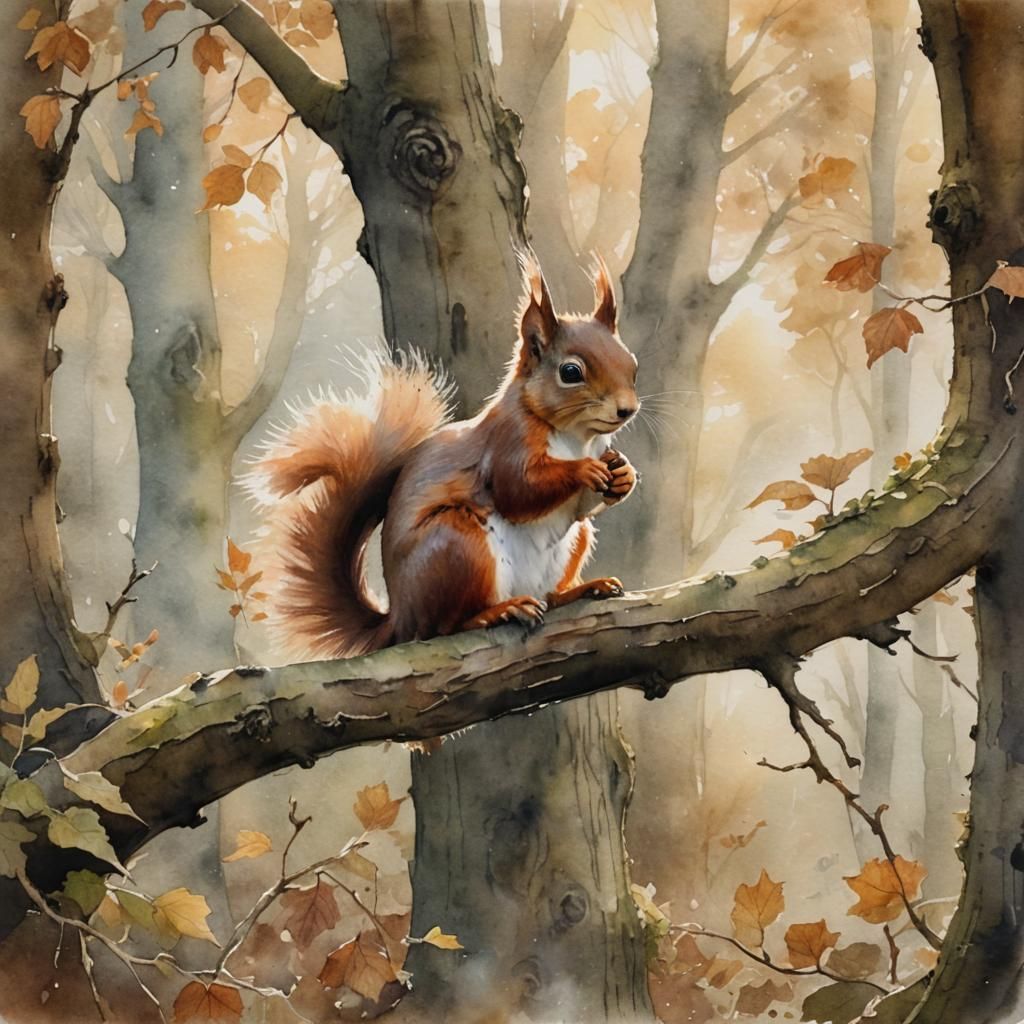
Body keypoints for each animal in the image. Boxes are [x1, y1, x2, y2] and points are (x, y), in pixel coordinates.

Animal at [246, 254, 640, 660]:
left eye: (632, 365)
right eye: (570, 372)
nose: (627, 410)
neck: (576, 437)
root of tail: (400, 617)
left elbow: (580, 506)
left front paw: (623, 475)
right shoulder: (506, 442)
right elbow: (518, 490)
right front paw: (584, 470)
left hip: (570, 543)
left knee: (550, 593)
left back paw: (581, 589)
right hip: (456, 544)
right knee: (447, 626)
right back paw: (499, 611)